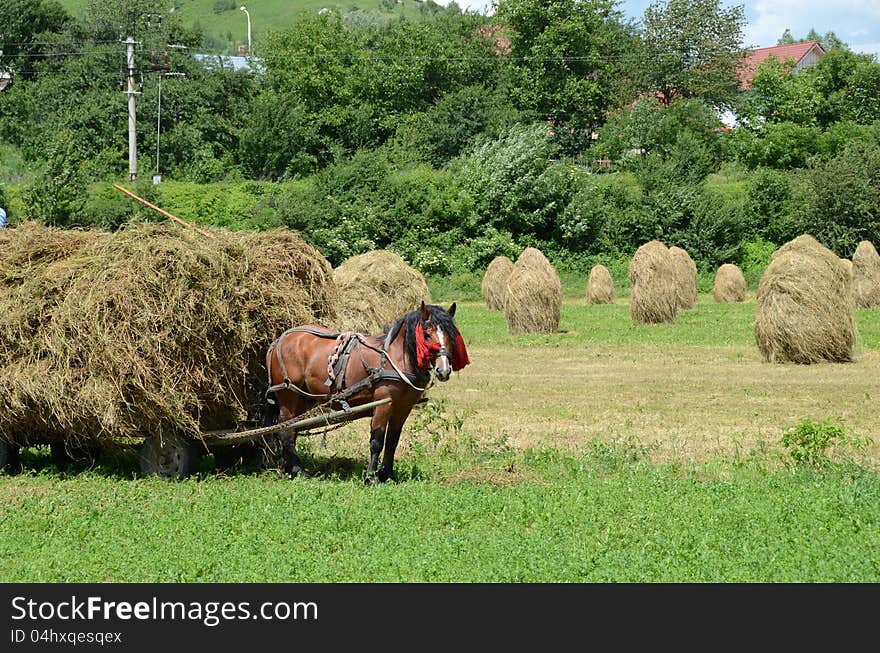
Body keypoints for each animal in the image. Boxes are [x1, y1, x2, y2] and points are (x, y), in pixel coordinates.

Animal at [262, 304, 468, 482]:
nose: (443, 370)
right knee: (285, 431)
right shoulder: (383, 404)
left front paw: (387, 475)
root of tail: (279, 340)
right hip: (287, 393)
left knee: (292, 429)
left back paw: (288, 469)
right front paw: (371, 477)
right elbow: (377, 441)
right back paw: (299, 470)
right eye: (426, 334)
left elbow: (392, 441)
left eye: (450, 335)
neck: (394, 359)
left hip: (303, 398)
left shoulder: (403, 408)